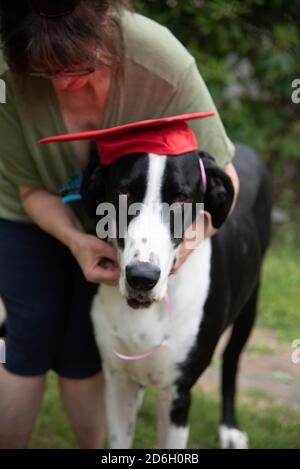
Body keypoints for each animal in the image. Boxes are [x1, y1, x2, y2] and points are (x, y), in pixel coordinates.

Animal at [80, 144, 272, 450]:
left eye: (181, 199)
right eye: (124, 192)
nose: (141, 277)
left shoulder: (177, 394)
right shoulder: (118, 381)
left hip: (250, 304)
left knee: (232, 358)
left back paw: (230, 427)